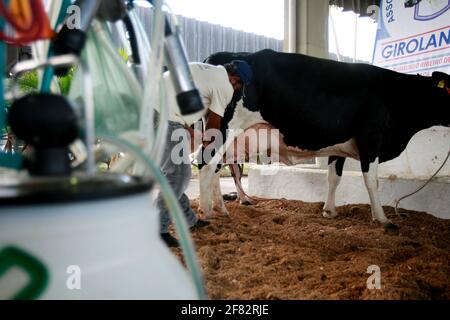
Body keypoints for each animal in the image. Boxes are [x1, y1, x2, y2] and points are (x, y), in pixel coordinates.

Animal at [198, 48, 450, 226]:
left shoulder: (339, 147)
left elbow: (333, 178)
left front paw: (329, 211)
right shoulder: (371, 139)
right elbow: (371, 180)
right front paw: (382, 218)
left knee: (219, 168)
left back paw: (223, 208)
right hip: (224, 129)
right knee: (207, 164)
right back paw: (207, 212)